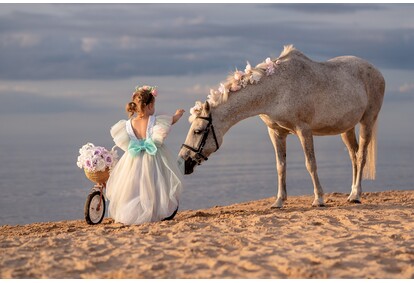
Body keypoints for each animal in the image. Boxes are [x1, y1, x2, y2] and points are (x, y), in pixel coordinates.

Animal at [180, 45, 386, 209]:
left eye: (198, 131)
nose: (184, 160)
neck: (277, 89)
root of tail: (377, 72)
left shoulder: (304, 130)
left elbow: (311, 164)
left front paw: (319, 199)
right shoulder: (276, 133)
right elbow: (281, 166)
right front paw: (279, 201)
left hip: (367, 121)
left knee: (361, 156)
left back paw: (356, 195)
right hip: (347, 128)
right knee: (354, 156)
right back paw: (352, 193)